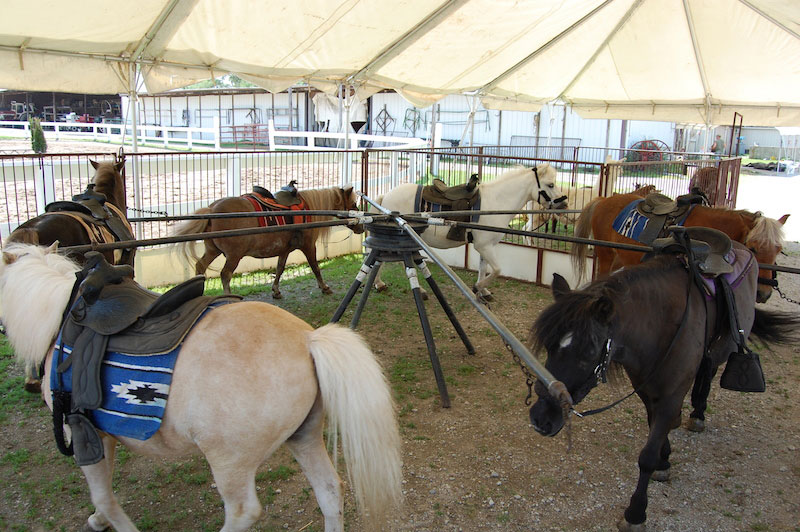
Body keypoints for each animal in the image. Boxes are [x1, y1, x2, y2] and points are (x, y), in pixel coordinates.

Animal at [0, 244, 400, 532]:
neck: (60, 316)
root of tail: (307, 339)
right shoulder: (102, 435)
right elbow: (102, 496)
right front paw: (98, 521)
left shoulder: (84, 432)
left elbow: (103, 496)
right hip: (304, 437)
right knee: (331, 492)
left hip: (230, 462)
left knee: (243, 512)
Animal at [177, 185, 364, 298]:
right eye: (353, 203)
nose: (361, 227)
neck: (309, 209)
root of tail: (211, 209)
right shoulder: (308, 246)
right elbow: (315, 267)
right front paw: (324, 287)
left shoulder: (285, 250)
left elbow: (279, 269)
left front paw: (275, 290)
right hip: (233, 255)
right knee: (225, 274)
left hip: (212, 250)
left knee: (200, 267)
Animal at [378, 163, 564, 300]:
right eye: (550, 184)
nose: (564, 203)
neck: (496, 202)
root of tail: (386, 196)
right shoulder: (484, 246)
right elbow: (497, 270)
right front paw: (478, 287)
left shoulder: (487, 246)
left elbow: (483, 268)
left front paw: (483, 292)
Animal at [532, 243, 800, 528]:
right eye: (549, 345)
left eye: (589, 352)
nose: (540, 419)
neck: (660, 325)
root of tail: (744, 249)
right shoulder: (647, 389)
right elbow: (654, 426)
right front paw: (665, 458)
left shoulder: (671, 393)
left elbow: (647, 456)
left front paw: (636, 512)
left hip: (721, 352)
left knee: (707, 373)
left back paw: (698, 414)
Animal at [568, 191, 788, 302]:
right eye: (753, 247)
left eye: (778, 250)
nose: (763, 294)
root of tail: (604, 199)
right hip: (606, 254)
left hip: (620, 257)